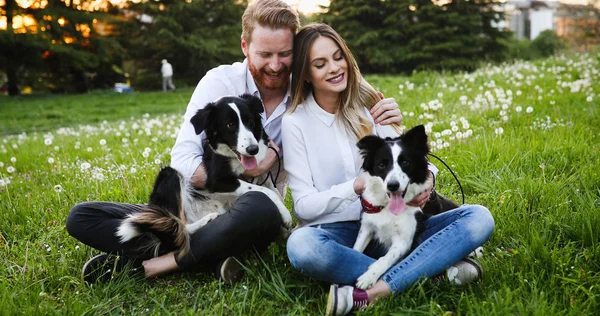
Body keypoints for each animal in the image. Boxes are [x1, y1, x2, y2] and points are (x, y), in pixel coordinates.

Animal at [115, 94, 292, 256]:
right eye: (230, 125)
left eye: (249, 121)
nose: (253, 149)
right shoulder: (217, 179)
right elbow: (265, 191)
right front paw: (286, 215)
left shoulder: (263, 173)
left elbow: (273, 190)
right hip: (170, 175)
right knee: (180, 228)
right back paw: (205, 221)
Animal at [354, 125, 458, 288]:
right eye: (382, 165)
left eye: (405, 163)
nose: (393, 185)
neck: (388, 208)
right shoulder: (367, 227)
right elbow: (355, 249)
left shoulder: (404, 240)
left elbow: (386, 258)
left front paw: (368, 277)